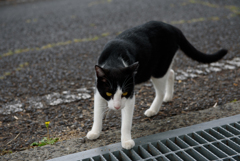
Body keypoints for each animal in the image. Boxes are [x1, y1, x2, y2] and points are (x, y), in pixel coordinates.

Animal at [86, 20, 227, 150]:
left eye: (124, 93)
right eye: (109, 92)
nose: (117, 107)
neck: (114, 60)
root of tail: (173, 27)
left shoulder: (130, 95)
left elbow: (126, 122)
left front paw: (126, 141)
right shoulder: (98, 91)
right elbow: (97, 113)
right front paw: (95, 132)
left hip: (158, 68)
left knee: (161, 90)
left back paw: (153, 109)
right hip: (158, 68)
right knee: (171, 72)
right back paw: (169, 96)